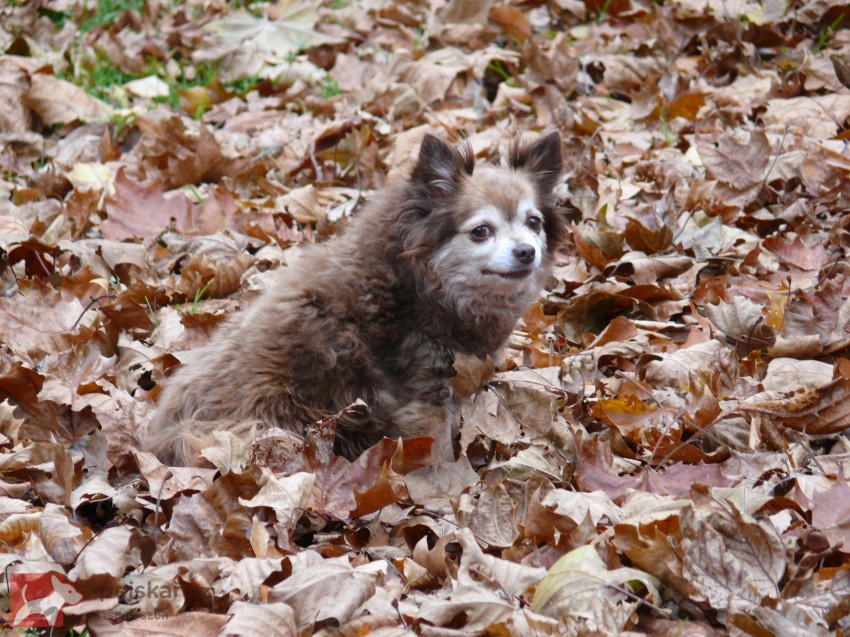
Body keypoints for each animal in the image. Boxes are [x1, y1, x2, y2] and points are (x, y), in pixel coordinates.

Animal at [145, 132, 564, 464]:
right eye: (480, 231)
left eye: (534, 223)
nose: (526, 251)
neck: (422, 285)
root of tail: (163, 435)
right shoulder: (424, 396)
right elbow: (438, 452)